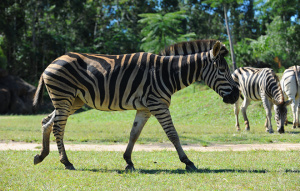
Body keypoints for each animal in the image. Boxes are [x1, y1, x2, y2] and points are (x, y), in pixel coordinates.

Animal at [32, 40, 239, 170]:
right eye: (222, 70)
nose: (237, 95)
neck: (167, 74)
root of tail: (52, 62)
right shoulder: (158, 105)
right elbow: (173, 134)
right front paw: (187, 161)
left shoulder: (145, 108)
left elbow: (134, 133)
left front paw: (128, 161)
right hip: (64, 97)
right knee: (58, 128)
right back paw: (66, 162)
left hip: (73, 101)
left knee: (46, 122)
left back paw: (41, 156)